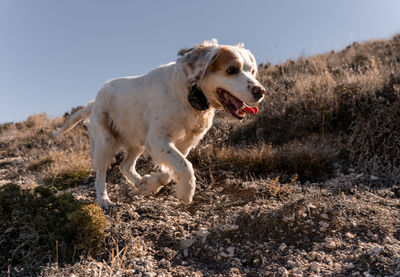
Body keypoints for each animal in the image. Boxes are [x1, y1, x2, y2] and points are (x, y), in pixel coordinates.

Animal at [53, 40, 266, 206]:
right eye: (231, 70)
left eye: (252, 71)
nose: (260, 91)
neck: (190, 95)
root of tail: (94, 100)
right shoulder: (158, 138)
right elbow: (185, 166)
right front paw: (186, 192)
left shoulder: (184, 143)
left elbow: (172, 169)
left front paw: (149, 184)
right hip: (105, 141)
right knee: (100, 174)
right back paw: (104, 200)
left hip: (137, 141)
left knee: (125, 166)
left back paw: (138, 183)